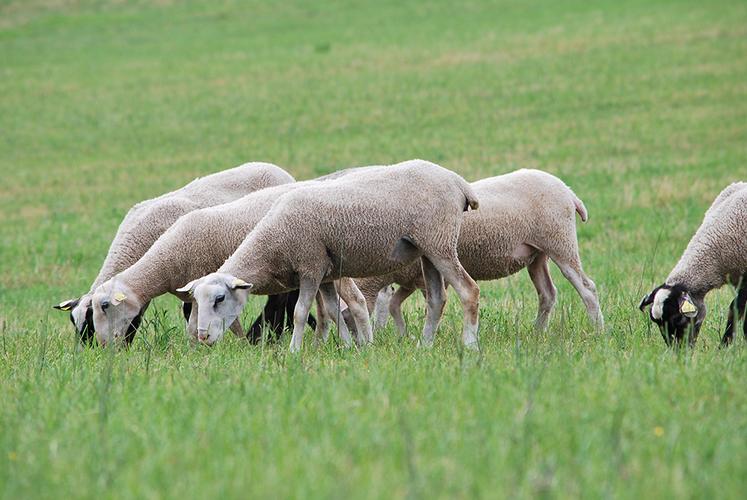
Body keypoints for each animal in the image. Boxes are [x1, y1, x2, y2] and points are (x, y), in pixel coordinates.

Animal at [90, 182, 372, 350]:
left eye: (105, 306)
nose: (101, 346)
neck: (167, 259)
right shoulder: (196, 291)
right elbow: (195, 322)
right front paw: (196, 348)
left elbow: (219, 321)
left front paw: (240, 346)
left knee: (354, 300)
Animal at [175, 160, 480, 352]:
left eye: (219, 298)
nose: (203, 337)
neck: (273, 239)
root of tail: (458, 182)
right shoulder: (326, 274)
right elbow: (333, 311)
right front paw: (347, 347)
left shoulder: (310, 267)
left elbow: (299, 313)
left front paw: (294, 352)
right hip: (427, 250)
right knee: (437, 299)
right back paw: (424, 345)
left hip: (439, 242)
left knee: (469, 290)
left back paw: (470, 346)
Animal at [354, 168, 604, 336]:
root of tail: (568, 191)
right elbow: (392, 302)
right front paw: (398, 334)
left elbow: (429, 303)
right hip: (537, 254)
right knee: (547, 293)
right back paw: (537, 332)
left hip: (560, 241)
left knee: (587, 287)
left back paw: (598, 330)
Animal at [636, 182, 747, 346]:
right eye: (657, 323)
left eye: (678, 318)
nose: (678, 350)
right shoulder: (737, 279)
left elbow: (736, 308)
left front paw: (725, 345)